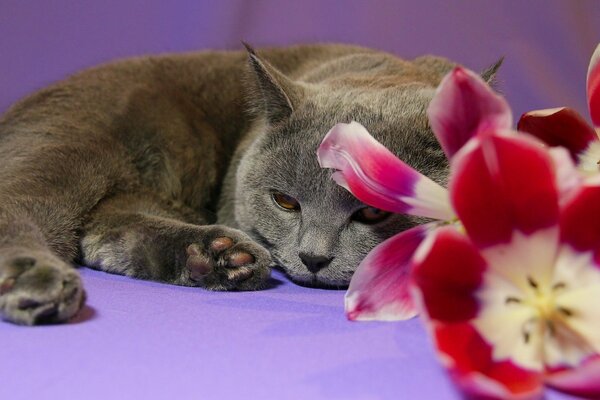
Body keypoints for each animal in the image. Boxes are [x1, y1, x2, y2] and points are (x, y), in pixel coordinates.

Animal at [0, 43, 500, 324]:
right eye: (284, 201)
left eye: (373, 210)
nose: (313, 258)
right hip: (70, 145)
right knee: (22, 205)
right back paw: (34, 285)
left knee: (101, 230)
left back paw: (219, 256)